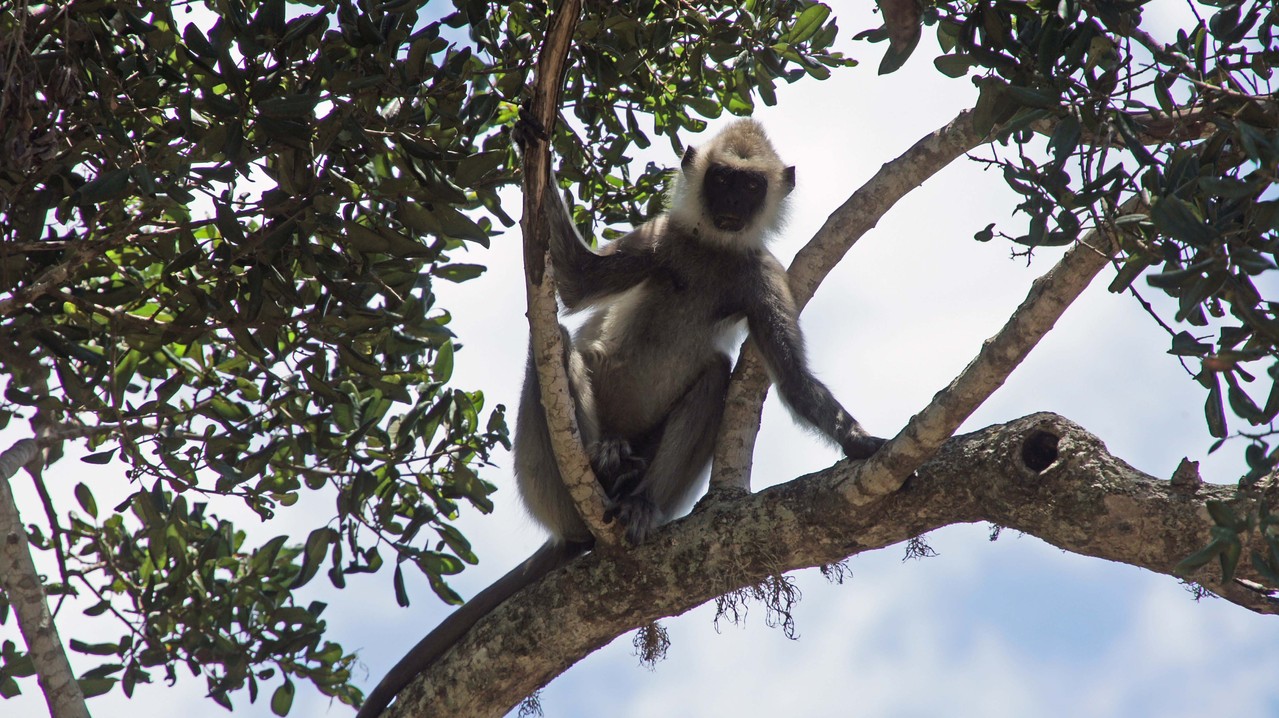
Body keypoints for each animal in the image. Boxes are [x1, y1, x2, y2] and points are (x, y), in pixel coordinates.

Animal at [355, 117, 885, 716]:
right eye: (722, 180)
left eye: (749, 187)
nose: (730, 205)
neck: (711, 250)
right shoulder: (660, 238)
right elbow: (576, 284)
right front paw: (533, 141)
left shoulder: (763, 275)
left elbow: (794, 383)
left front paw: (863, 444)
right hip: (545, 478)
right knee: (563, 345)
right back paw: (602, 461)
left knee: (716, 373)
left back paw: (637, 500)